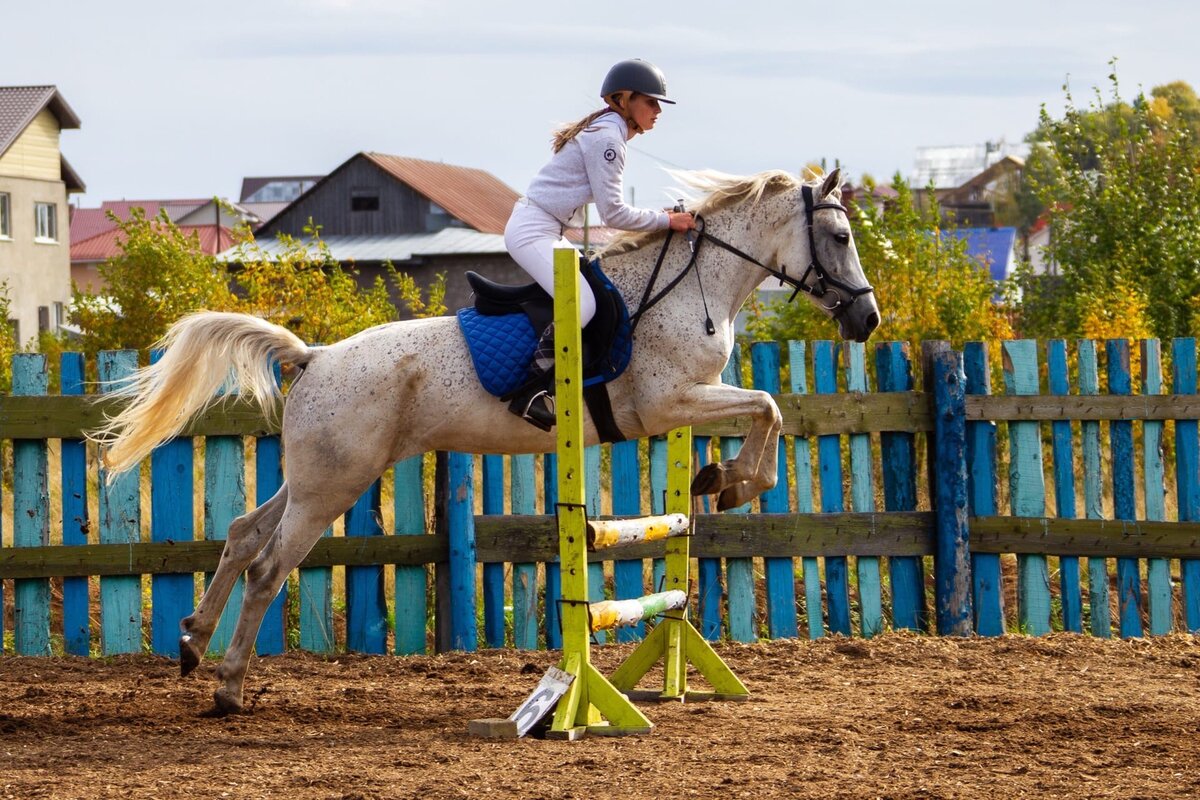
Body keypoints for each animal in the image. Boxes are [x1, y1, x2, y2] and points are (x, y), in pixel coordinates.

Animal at [93, 167, 878, 714]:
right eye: (841, 238)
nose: (867, 320)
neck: (692, 288)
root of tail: (313, 356)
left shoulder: (685, 404)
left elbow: (766, 409)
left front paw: (721, 480)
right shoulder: (669, 402)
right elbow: (769, 407)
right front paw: (736, 481)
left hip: (316, 474)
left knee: (243, 534)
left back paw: (192, 643)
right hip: (331, 486)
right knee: (267, 569)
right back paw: (227, 688)